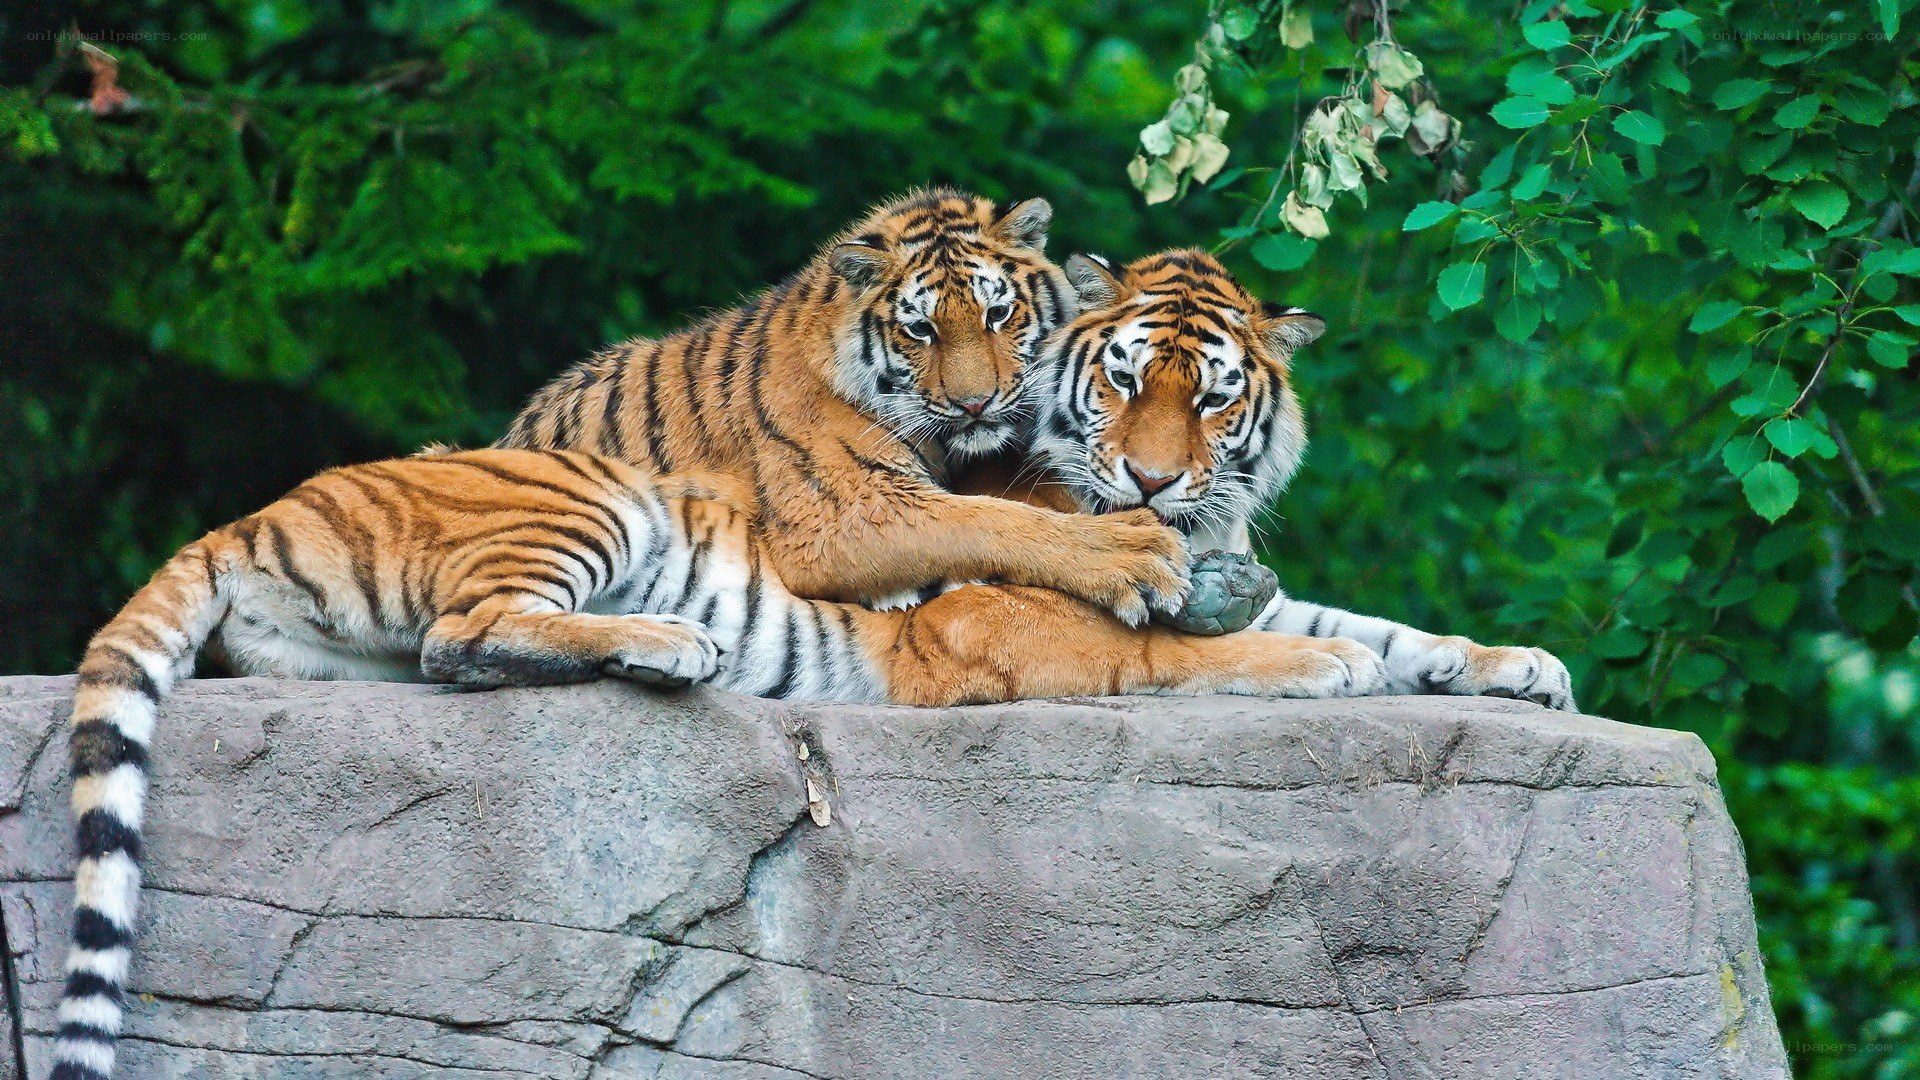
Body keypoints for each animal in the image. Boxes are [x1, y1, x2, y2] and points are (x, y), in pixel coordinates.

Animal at [48, 446, 1385, 1080]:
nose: (1239, 551)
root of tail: (247, 517)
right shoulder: (993, 637)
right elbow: (1180, 651)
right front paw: (1323, 663)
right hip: (584, 502)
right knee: (465, 633)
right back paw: (669, 647)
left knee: (443, 659)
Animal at [997, 247, 1576, 710]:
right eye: (1124, 380)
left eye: (1212, 400)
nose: (1150, 481)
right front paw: (1331, 662)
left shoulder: (1266, 600)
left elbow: (1377, 629)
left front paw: (1518, 664)